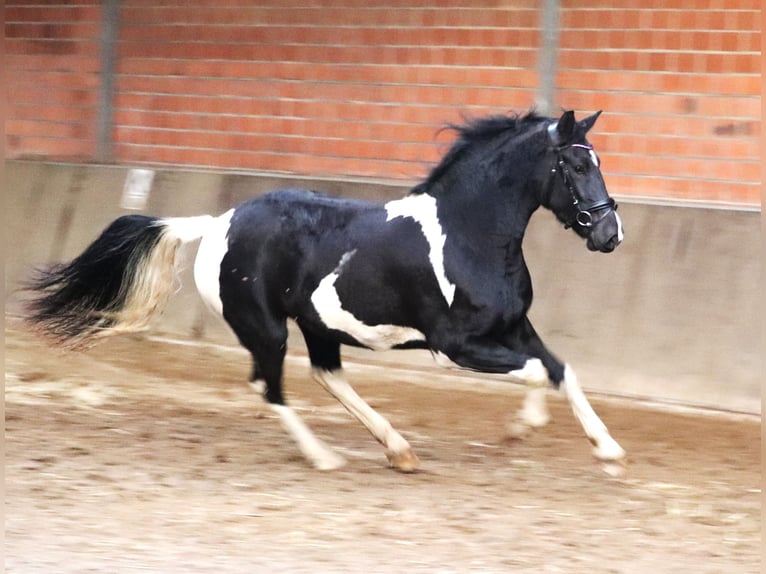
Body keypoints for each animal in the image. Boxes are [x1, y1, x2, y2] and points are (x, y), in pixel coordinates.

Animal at [25, 111, 624, 472]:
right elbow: (540, 373)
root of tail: (218, 222)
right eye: (574, 164)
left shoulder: (514, 327)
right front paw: (523, 429)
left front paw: (608, 448)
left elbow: (561, 369)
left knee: (325, 374)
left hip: (318, 325)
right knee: (270, 386)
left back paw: (398, 450)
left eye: (597, 160)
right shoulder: (456, 345)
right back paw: (325, 457)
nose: (609, 234)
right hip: (265, 328)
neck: (469, 233)